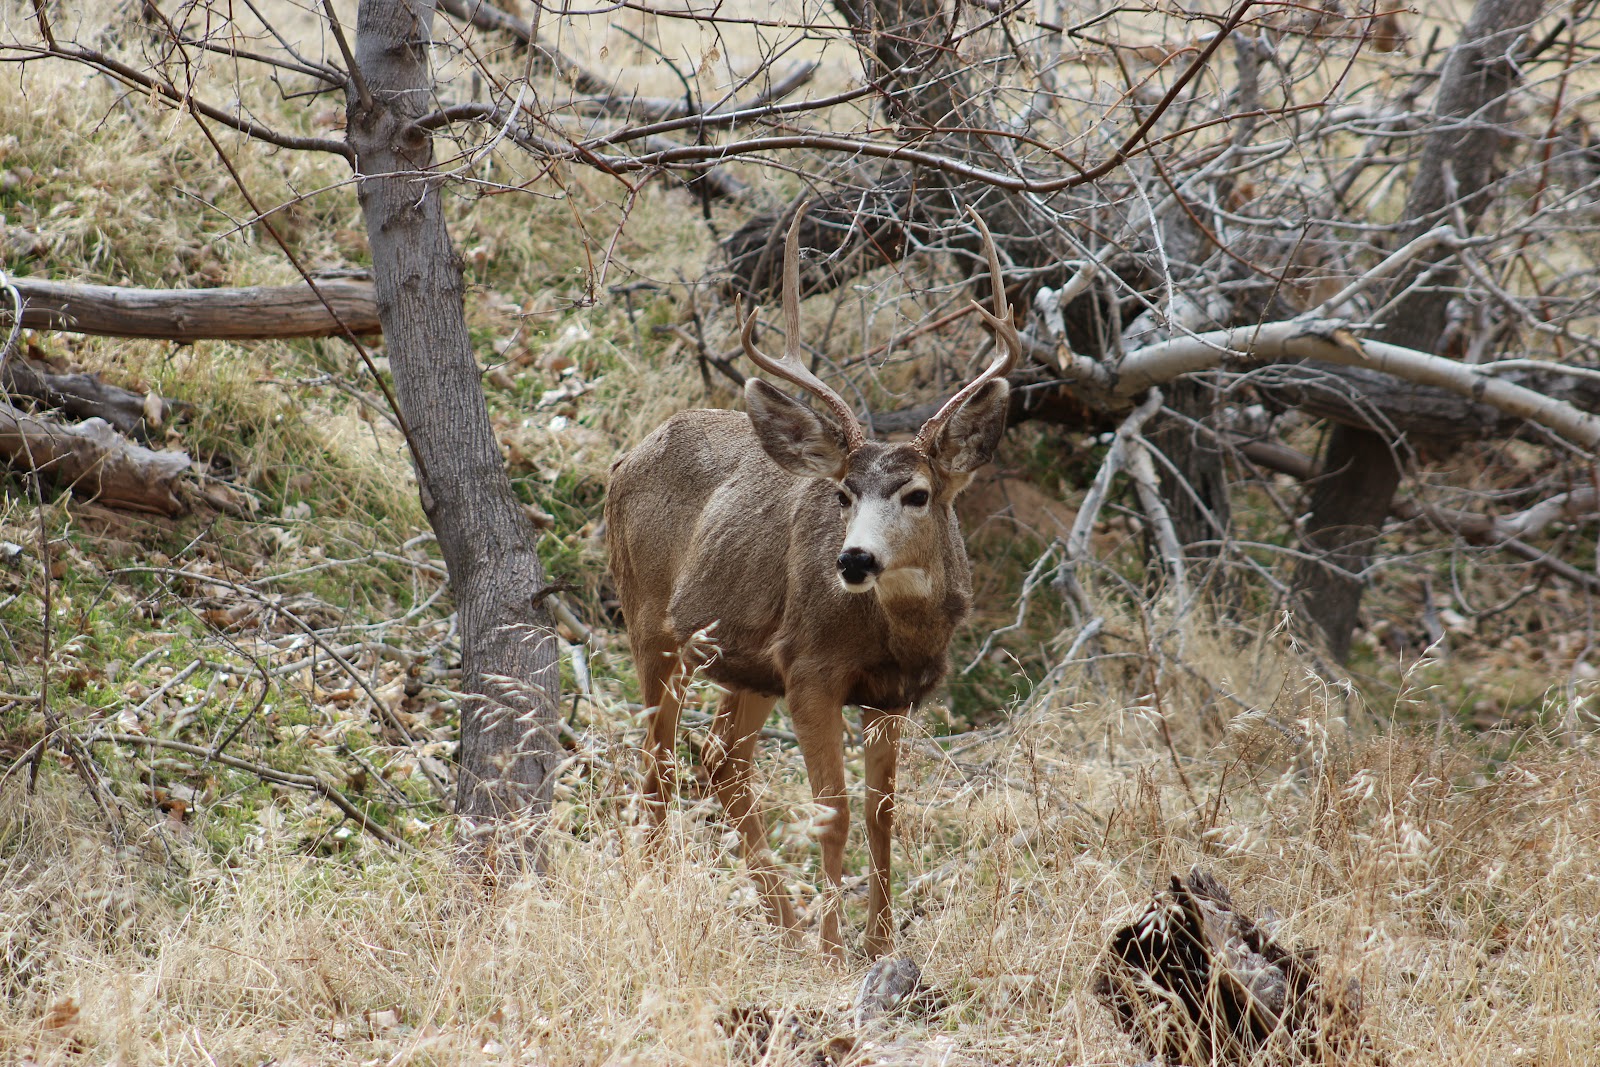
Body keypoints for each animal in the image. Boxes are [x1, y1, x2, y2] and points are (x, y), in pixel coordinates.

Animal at [604, 202, 1017, 959]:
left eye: (918, 493)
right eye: (844, 493)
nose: (853, 560)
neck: (894, 636)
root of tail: (624, 458)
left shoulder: (891, 695)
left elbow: (884, 812)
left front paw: (880, 943)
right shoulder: (814, 669)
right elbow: (834, 810)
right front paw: (834, 947)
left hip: (746, 663)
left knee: (721, 761)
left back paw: (782, 922)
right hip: (651, 622)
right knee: (658, 761)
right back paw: (658, 891)